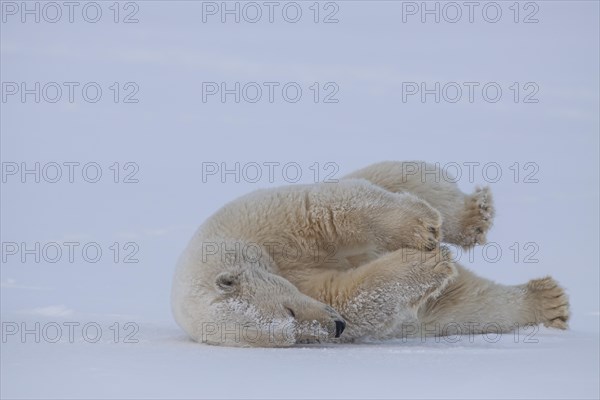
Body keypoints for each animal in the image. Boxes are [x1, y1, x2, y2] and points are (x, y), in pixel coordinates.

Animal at [171, 161, 568, 346]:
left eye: (289, 310)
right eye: (294, 338)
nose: (335, 328)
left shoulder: (267, 223)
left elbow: (327, 211)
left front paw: (423, 233)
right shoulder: (317, 291)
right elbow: (352, 297)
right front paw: (429, 262)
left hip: (386, 178)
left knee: (408, 180)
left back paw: (473, 215)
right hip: (435, 314)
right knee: (470, 305)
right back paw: (547, 301)